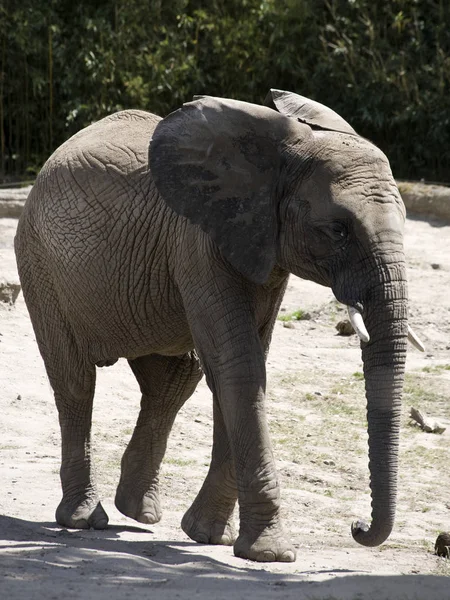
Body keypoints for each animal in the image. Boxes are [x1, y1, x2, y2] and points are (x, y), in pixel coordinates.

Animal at [13, 88, 422, 564]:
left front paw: (210, 537)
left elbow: (242, 365)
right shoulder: (199, 242)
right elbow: (238, 366)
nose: (356, 527)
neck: (284, 151)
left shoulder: (261, 248)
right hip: (38, 260)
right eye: (337, 230)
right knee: (76, 380)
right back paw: (84, 519)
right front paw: (270, 554)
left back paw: (139, 511)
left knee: (176, 378)